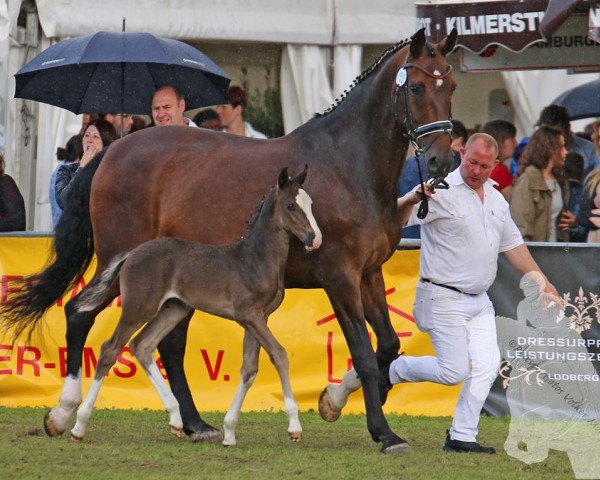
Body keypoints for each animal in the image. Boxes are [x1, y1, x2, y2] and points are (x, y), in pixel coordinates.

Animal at [68, 167, 322, 444]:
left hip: (174, 308)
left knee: (142, 345)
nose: (315, 239)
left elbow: (249, 369)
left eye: (310, 204)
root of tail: (132, 253)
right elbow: (279, 354)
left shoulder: (258, 318)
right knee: (109, 349)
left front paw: (229, 432)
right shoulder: (248, 315)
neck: (255, 259)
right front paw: (294, 427)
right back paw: (78, 427)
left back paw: (176, 419)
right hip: (139, 308)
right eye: (290, 205)